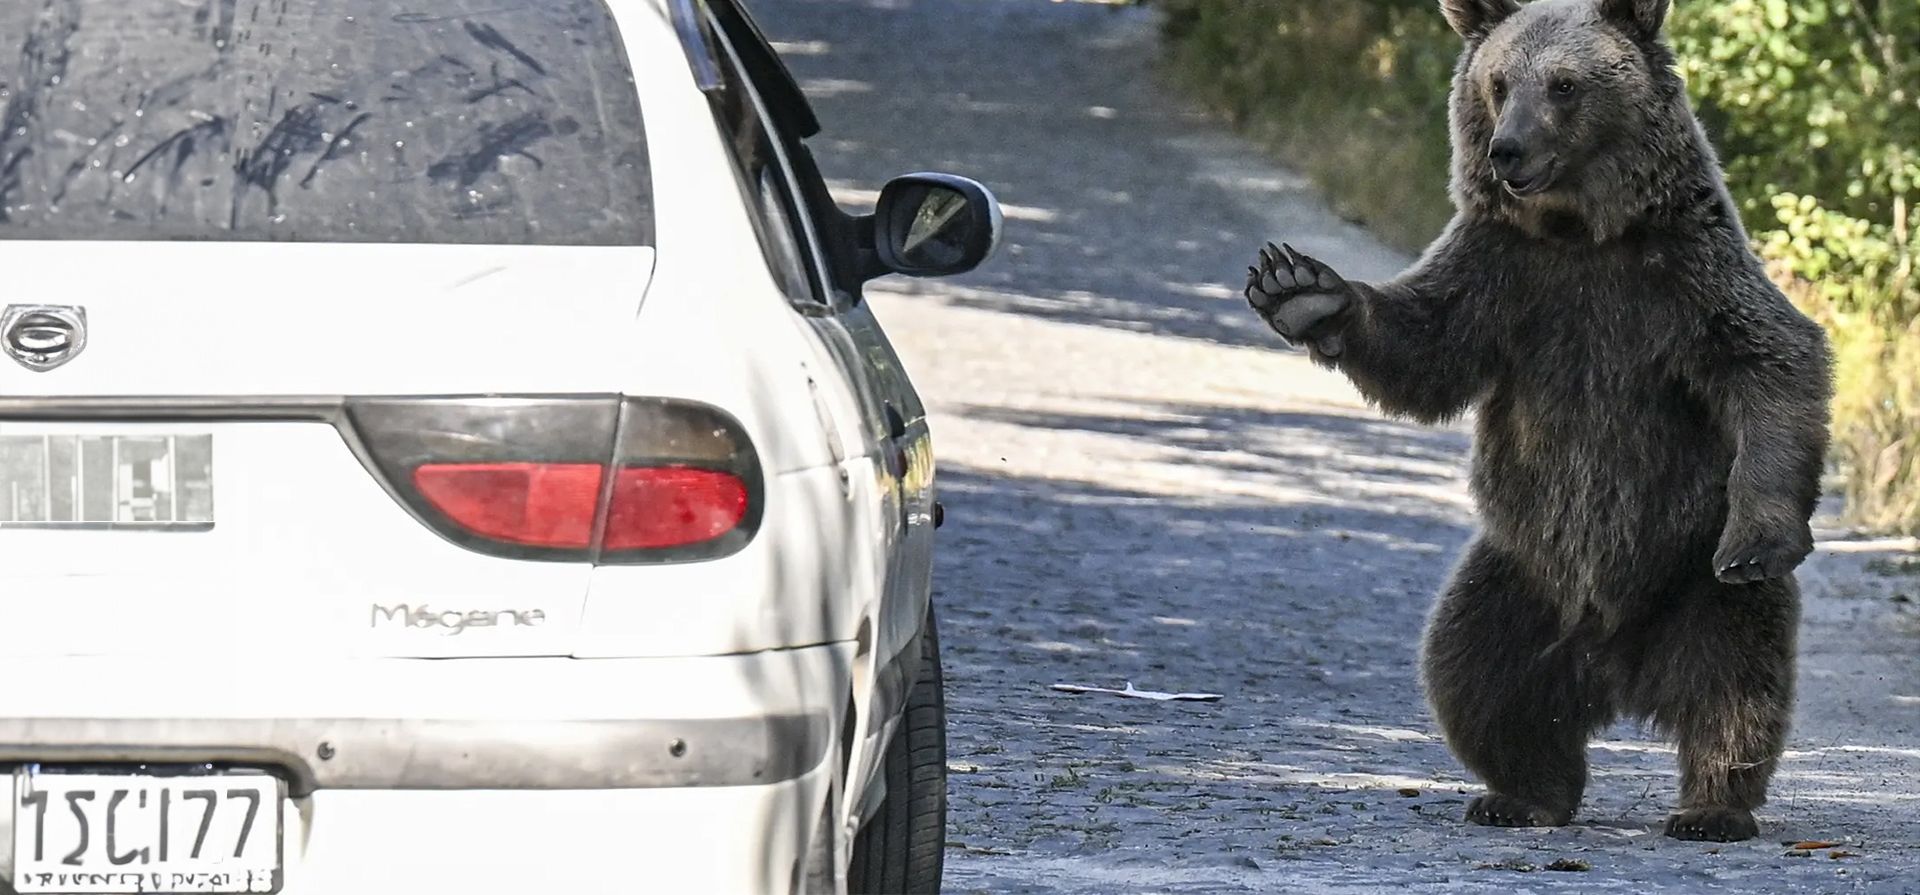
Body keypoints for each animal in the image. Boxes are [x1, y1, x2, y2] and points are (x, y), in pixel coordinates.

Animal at [1242, 0, 1833, 842]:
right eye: (1497, 82)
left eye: (1564, 83)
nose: (1507, 149)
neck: (1579, 231)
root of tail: (1617, 665)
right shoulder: (1503, 275)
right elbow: (1425, 347)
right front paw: (1300, 288)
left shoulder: (1685, 275)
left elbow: (1772, 360)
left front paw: (1759, 536)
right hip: (1520, 574)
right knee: (1475, 670)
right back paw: (1521, 793)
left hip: (1688, 572)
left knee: (1735, 682)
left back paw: (1711, 807)